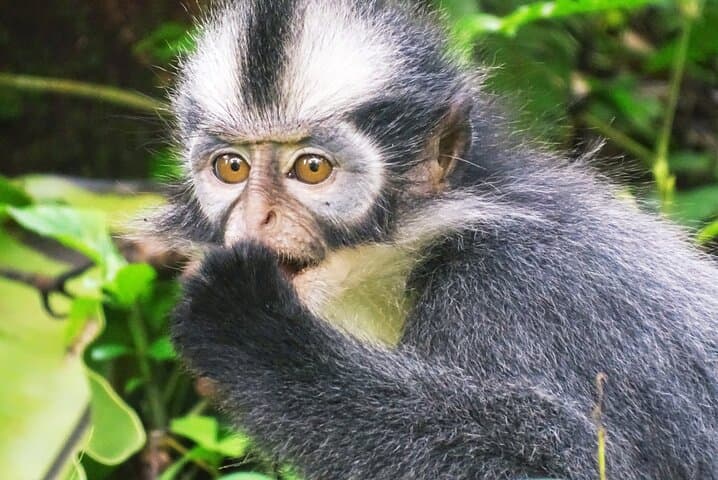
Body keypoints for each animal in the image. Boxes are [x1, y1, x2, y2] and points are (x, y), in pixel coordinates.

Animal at [143, 0, 718, 478]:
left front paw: (255, 330)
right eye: (232, 167)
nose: (257, 217)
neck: (424, 249)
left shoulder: (512, 288)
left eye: (311, 168)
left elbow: (565, 466)